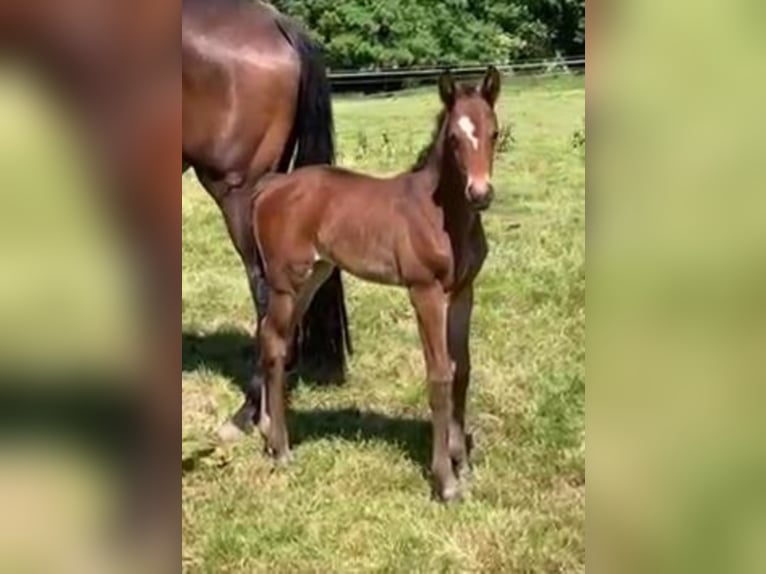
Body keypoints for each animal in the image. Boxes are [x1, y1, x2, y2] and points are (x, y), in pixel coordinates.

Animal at [254, 66, 504, 500]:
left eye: (493, 132)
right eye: (454, 138)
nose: (480, 193)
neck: (443, 217)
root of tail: (271, 186)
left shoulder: (463, 292)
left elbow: (463, 371)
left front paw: (463, 464)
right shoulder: (424, 292)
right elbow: (440, 375)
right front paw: (445, 481)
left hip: (314, 277)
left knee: (277, 340)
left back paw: (271, 434)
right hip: (287, 281)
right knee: (272, 342)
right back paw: (283, 449)